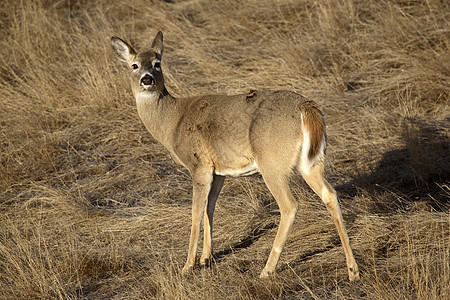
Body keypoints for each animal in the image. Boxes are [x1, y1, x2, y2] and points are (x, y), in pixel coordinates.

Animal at [113, 31, 362, 282]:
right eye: (134, 65)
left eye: (157, 63)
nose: (146, 80)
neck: (172, 122)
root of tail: (306, 107)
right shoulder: (218, 170)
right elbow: (209, 208)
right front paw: (206, 258)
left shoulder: (198, 164)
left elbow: (195, 213)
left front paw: (188, 266)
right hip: (312, 161)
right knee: (329, 194)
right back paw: (353, 270)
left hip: (272, 162)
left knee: (289, 206)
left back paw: (267, 270)